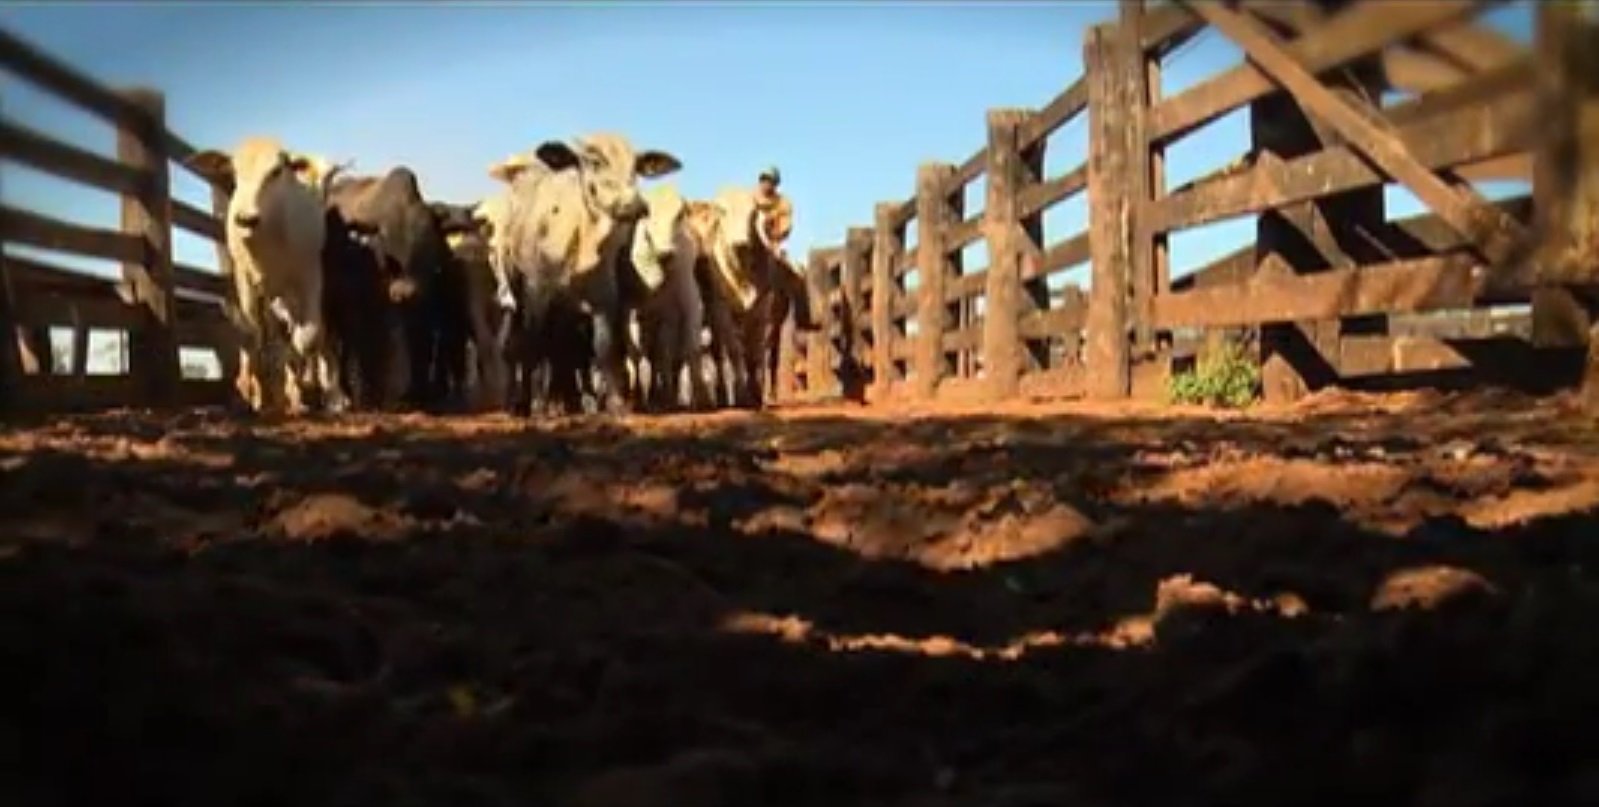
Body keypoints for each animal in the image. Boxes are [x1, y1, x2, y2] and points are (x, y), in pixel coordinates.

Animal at [185, 135, 351, 412]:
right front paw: (254, 390)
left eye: (275, 172)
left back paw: (322, 392)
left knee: (316, 341)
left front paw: (299, 384)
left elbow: (306, 338)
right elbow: (254, 334)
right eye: (235, 173)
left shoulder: (309, 277)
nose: (245, 218)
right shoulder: (248, 283)